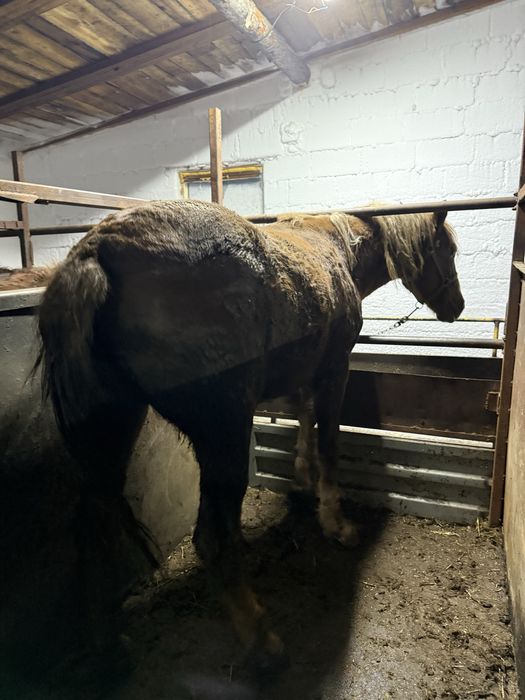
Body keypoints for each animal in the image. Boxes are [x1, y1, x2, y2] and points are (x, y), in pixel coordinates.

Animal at [33, 199, 464, 673]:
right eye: (448, 251)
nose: (458, 306)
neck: (337, 247)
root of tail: (97, 251)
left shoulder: (303, 374)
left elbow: (304, 421)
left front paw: (302, 480)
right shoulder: (334, 371)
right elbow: (329, 441)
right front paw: (336, 523)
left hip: (114, 431)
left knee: (94, 529)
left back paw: (110, 649)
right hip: (225, 433)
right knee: (211, 539)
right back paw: (261, 643)